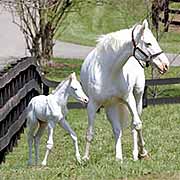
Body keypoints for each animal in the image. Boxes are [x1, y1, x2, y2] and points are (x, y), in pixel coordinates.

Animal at [81, 19, 169, 162]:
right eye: (148, 43)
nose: (165, 65)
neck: (108, 71)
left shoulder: (129, 99)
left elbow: (137, 124)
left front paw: (143, 153)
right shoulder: (92, 105)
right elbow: (90, 133)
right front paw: (85, 158)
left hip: (137, 98)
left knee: (134, 125)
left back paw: (135, 153)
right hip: (111, 106)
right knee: (117, 129)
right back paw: (119, 157)